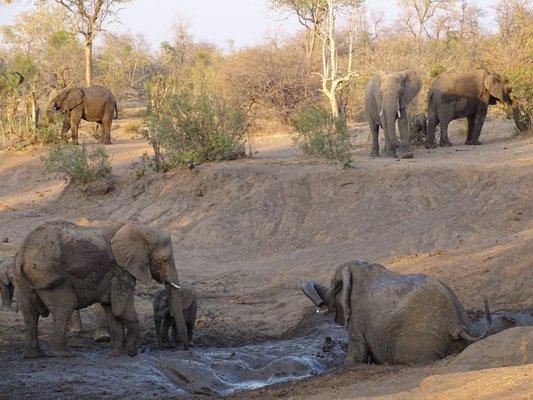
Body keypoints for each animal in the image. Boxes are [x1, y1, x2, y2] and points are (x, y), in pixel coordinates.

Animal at [13, 220, 191, 358]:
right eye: (165, 260)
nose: (185, 348)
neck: (140, 228)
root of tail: (23, 251)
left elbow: (113, 311)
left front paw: (117, 355)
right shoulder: (120, 270)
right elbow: (121, 309)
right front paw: (132, 353)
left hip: (23, 279)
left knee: (30, 313)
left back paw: (34, 355)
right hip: (45, 273)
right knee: (65, 306)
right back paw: (63, 354)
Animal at [300, 260, 490, 366]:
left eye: (335, 284)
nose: (321, 303)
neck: (360, 268)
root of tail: (456, 326)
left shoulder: (356, 316)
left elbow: (357, 356)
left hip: (421, 340)